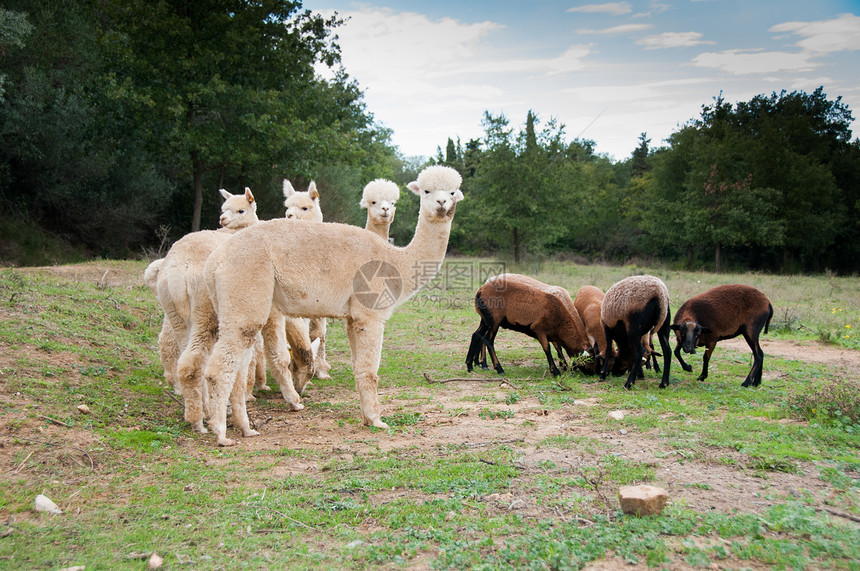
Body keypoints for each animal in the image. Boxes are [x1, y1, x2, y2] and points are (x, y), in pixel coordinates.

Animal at [201, 165, 464, 446]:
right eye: (426, 191)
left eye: (452, 192)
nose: (441, 203)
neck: (397, 261)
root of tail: (214, 261)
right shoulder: (370, 315)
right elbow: (370, 370)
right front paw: (378, 420)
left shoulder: (353, 317)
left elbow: (359, 367)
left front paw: (367, 417)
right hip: (245, 292)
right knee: (219, 369)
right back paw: (221, 433)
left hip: (238, 304)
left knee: (239, 369)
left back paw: (245, 427)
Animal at [466, 274, 596, 378]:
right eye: (590, 359)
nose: (592, 374)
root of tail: (480, 291)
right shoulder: (539, 330)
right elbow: (547, 349)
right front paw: (555, 371)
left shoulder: (552, 334)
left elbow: (557, 348)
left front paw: (563, 366)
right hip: (494, 321)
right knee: (487, 340)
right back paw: (498, 369)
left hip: (485, 320)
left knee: (476, 335)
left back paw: (469, 365)